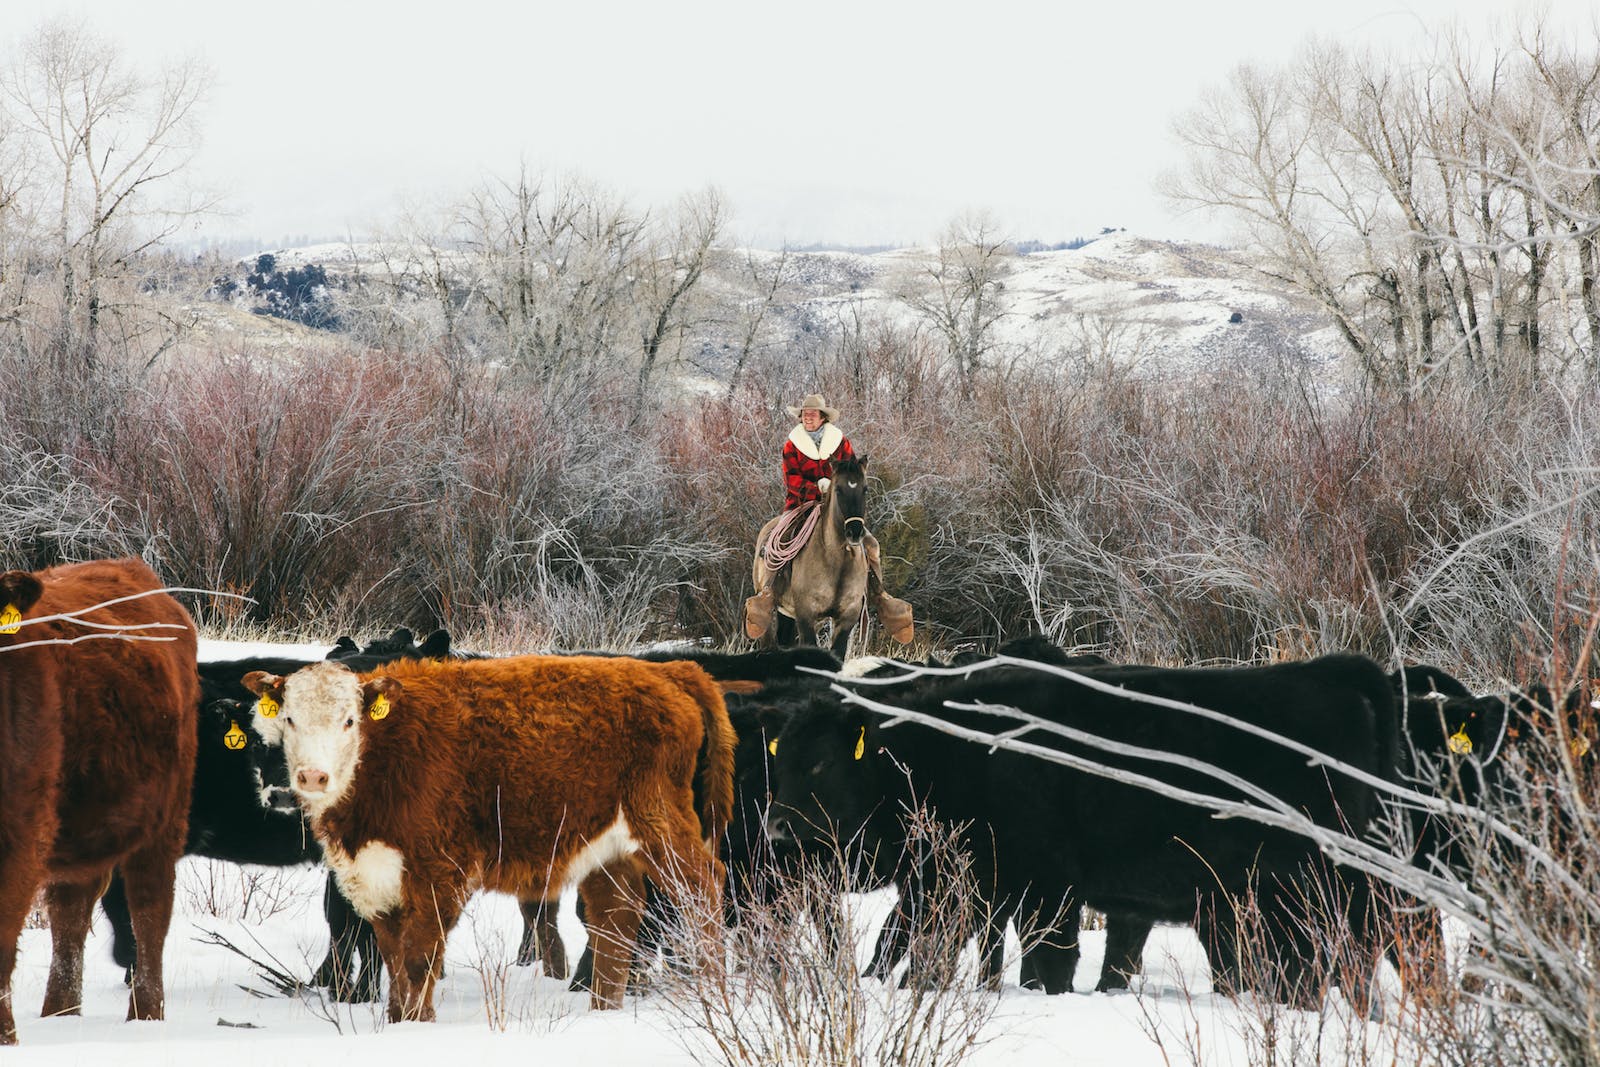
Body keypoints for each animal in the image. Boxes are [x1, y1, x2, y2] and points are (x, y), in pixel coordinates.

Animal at [0, 563, 198, 1049]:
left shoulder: (20, 839)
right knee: (70, 915)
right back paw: (60, 1015)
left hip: (165, 822)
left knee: (149, 911)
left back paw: (145, 1017)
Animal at [768, 646, 1395, 1004]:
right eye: (781, 756)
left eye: (820, 762)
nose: (774, 825)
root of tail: (1331, 673)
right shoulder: (970, 883)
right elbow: (924, 946)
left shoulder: (1047, 882)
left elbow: (1051, 957)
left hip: (1308, 891)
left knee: (1323, 961)